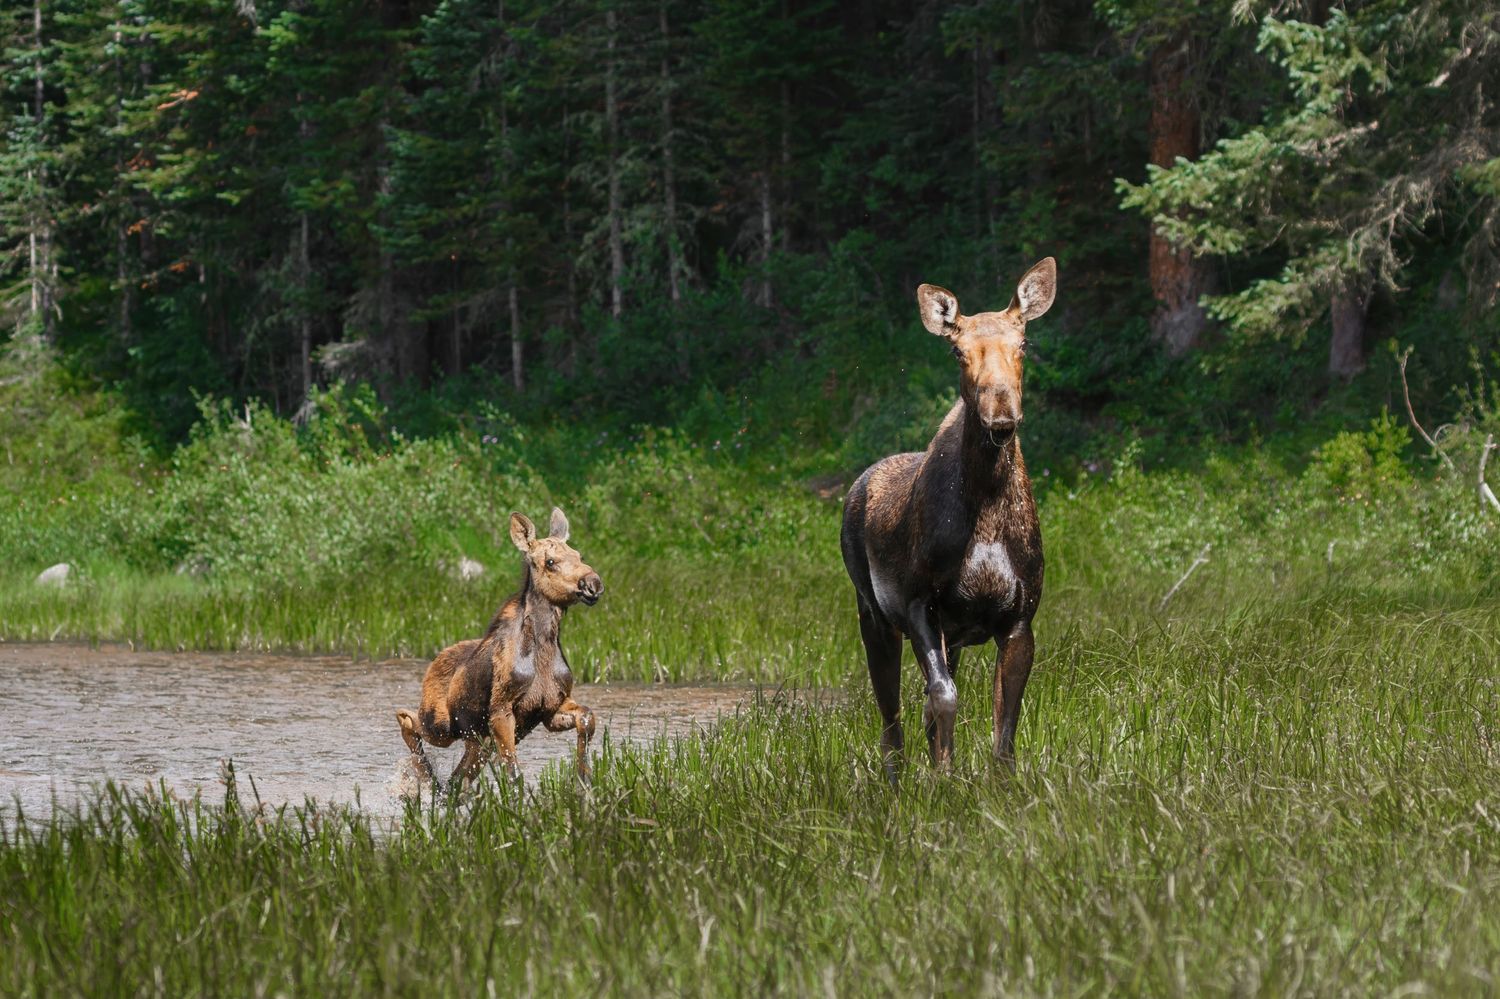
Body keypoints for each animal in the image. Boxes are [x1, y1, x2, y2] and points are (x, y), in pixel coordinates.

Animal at [397, 507, 603, 788]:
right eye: (550, 562)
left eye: (579, 555)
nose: (593, 583)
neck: (544, 649)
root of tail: (434, 660)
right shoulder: (501, 711)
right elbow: (514, 774)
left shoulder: (551, 709)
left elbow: (587, 717)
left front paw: (583, 777)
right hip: (441, 725)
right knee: (405, 717)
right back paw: (426, 778)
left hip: (477, 741)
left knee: (457, 780)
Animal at [840, 257, 1055, 777]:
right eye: (959, 351)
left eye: (1023, 344)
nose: (1001, 416)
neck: (987, 502)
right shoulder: (921, 604)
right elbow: (942, 699)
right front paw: (943, 779)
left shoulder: (1018, 617)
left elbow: (1005, 724)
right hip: (872, 613)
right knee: (891, 719)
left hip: (950, 637)